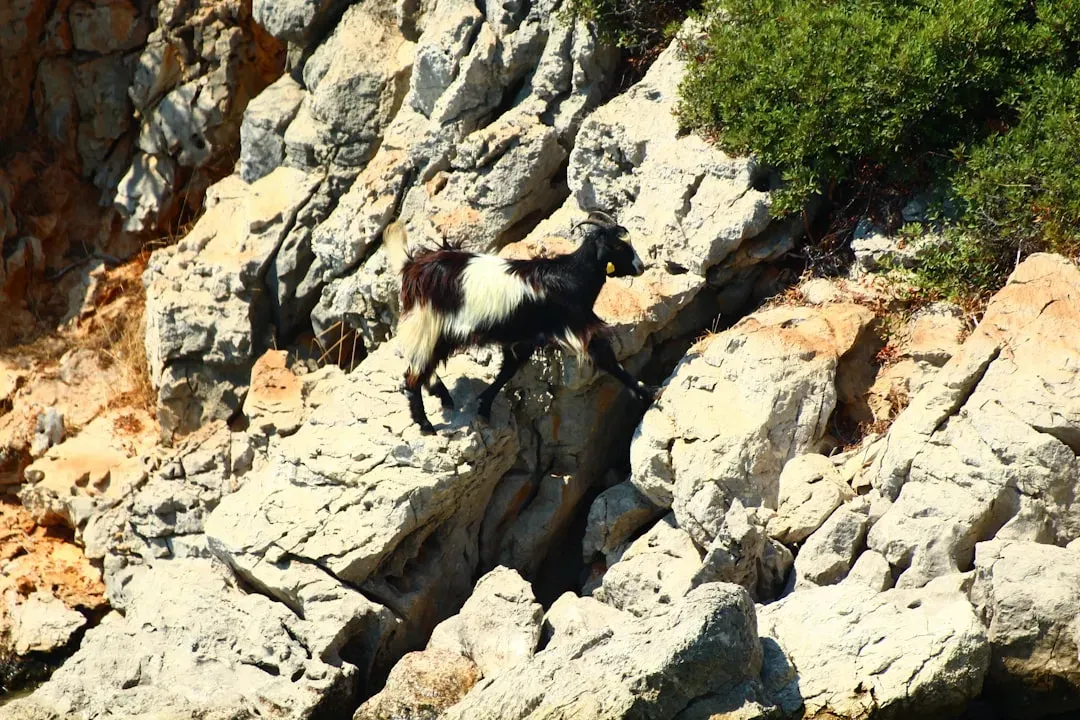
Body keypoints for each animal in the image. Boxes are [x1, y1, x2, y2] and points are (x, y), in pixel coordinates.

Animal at [383, 210, 656, 434]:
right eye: (618, 247)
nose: (640, 267)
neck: (570, 277)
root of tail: (412, 268)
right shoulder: (578, 326)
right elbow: (608, 360)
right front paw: (648, 392)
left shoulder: (525, 337)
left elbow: (509, 370)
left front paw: (483, 407)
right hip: (432, 326)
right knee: (413, 374)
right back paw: (425, 424)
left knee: (421, 366)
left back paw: (442, 396)